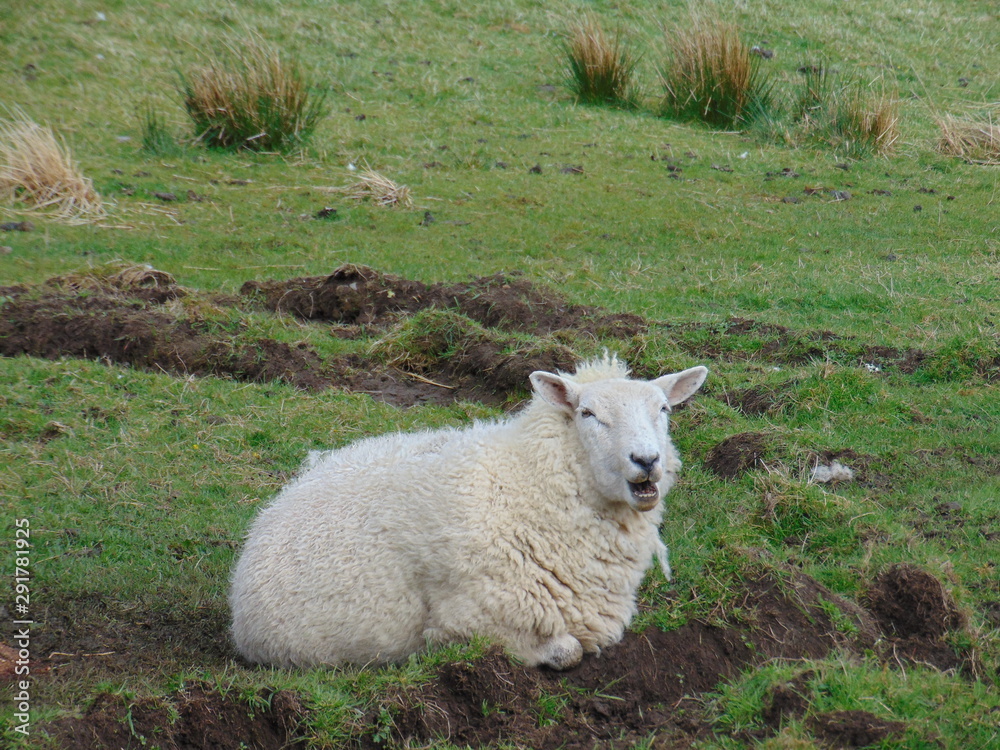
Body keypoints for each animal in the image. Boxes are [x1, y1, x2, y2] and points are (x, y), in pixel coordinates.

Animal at [229, 354, 708, 670]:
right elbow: (566, 651)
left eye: (663, 409)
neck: (527, 484)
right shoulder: (476, 617)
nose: (646, 460)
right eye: (588, 413)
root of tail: (274, 507)